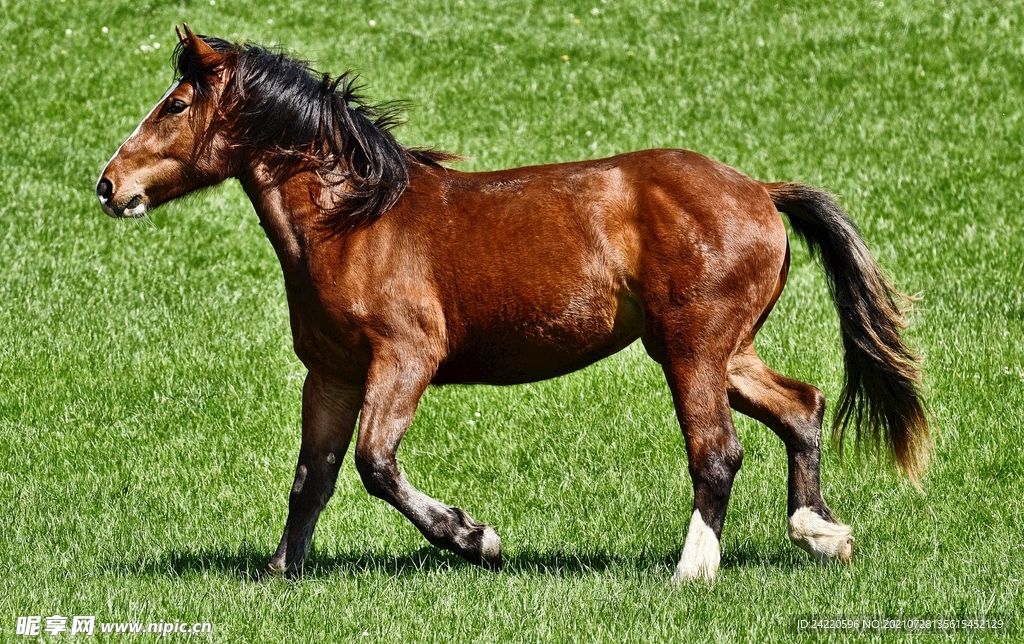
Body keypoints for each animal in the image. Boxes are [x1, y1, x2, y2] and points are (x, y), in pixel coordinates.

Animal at [96, 26, 930, 583]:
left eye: (175, 106)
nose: (109, 185)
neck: (354, 222)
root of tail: (759, 190)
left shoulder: (405, 359)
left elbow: (375, 464)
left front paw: (477, 538)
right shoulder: (330, 374)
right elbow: (315, 476)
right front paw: (279, 571)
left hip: (692, 348)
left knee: (718, 451)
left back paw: (692, 571)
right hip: (722, 349)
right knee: (802, 406)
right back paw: (822, 534)